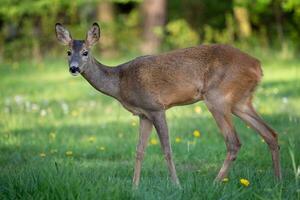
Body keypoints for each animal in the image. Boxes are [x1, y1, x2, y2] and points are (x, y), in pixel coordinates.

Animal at [54, 22, 282, 187]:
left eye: (85, 52)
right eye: (68, 52)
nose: (74, 68)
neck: (120, 82)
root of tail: (258, 66)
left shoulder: (156, 107)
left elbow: (167, 149)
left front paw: (176, 185)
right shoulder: (143, 114)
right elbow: (139, 151)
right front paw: (134, 187)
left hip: (218, 97)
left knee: (234, 142)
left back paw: (215, 183)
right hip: (240, 101)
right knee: (270, 133)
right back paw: (278, 182)